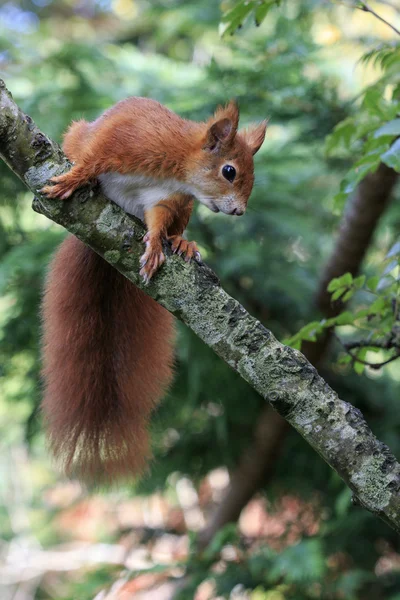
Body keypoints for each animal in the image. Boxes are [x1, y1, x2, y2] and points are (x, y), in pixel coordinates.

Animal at [40, 97, 268, 482]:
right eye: (229, 171)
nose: (238, 211)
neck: (176, 167)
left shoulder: (166, 199)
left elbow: (159, 219)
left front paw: (157, 245)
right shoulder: (123, 141)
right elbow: (92, 159)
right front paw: (72, 178)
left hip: (184, 208)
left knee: (175, 227)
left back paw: (182, 243)